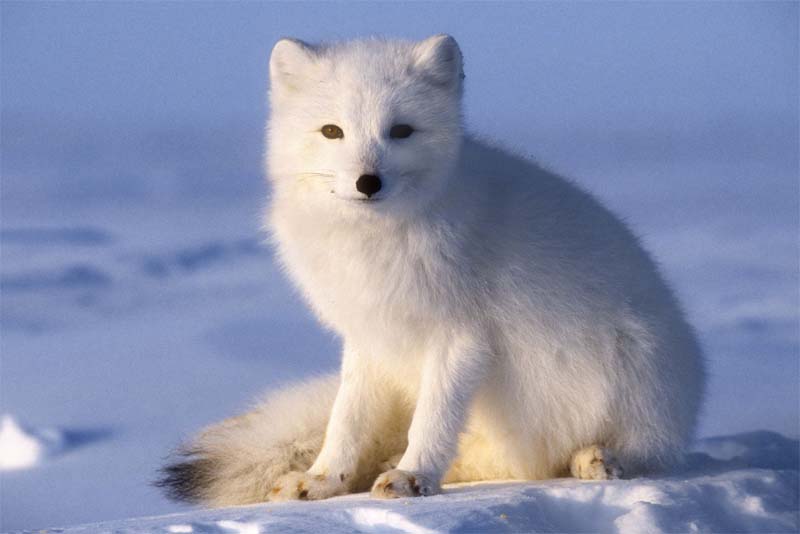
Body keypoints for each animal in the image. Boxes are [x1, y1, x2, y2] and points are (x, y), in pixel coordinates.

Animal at [158, 34, 708, 506]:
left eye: (401, 131)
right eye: (332, 131)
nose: (367, 182)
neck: (375, 245)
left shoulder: (460, 337)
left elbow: (433, 420)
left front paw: (413, 476)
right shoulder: (369, 338)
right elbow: (346, 420)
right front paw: (324, 481)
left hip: (635, 370)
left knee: (634, 455)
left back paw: (595, 459)